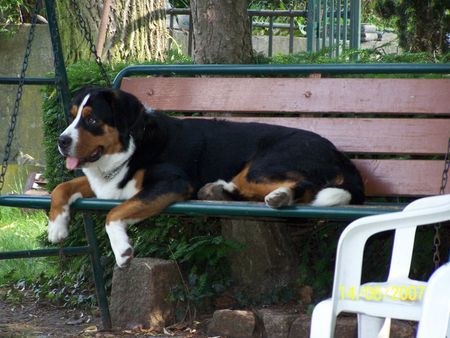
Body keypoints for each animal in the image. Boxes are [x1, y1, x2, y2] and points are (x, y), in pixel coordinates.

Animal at [48, 88, 366, 268]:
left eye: (91, 119)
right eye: (72, 115)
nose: (61, 141)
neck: (133, 144)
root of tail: (339, 154)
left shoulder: (171, 183)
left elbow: (113, 214)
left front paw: (122, 250)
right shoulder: (106, 184)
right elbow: (62, 186)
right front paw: (56, 226)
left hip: (260, 166)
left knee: (305, 186)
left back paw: (278, 196)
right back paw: (218, 190)